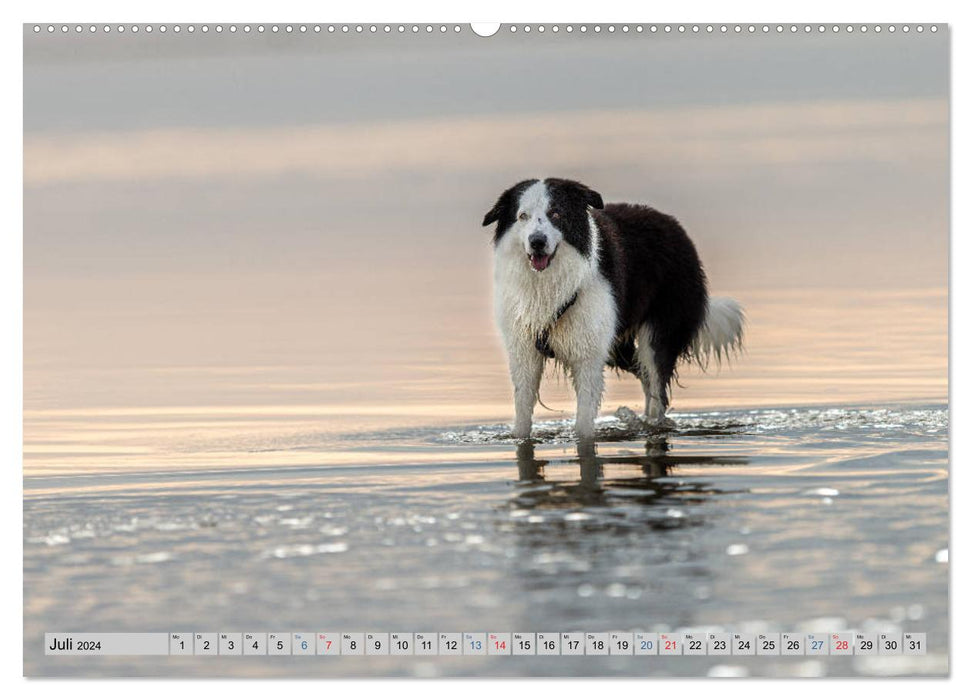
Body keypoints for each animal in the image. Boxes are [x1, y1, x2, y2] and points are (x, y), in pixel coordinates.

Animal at [484, 176, 744, 438]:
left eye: (556, 214)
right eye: (522, 216)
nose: (537, 242)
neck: (549, 283)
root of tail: (674, 226)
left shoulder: (588, 355)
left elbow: (584, 422)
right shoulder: (523, 352)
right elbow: (522, 414)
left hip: (659, 332)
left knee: (657, 385)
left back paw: (651, 424)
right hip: (616, 344)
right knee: (645, 378)